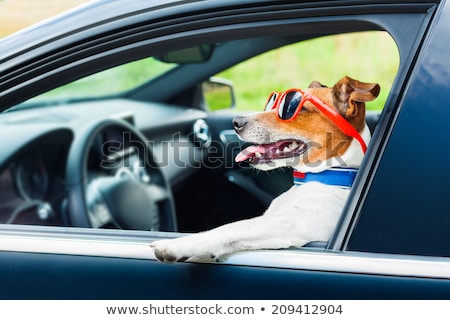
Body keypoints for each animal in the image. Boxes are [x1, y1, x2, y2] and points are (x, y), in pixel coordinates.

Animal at [150, 77, 380, 262]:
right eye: (272, 102)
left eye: (293, 108)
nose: (236, 121)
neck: (321, 177)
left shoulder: (293, 223)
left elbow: (230, 227)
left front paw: (178, 244)